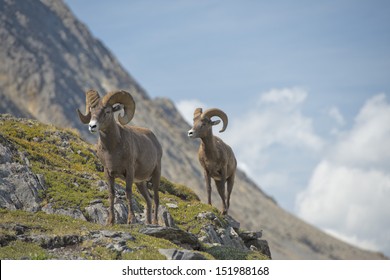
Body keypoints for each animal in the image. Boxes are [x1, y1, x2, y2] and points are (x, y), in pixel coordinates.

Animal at [77, 89, 162, 225]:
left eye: (107, 111)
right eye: (92, 111)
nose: (92, 126)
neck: (112, 149)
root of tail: (155, 140)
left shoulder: (129, 172)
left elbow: (128, 193)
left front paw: (131, 220)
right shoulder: (108, 172)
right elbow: (111, 194)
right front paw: (110, 221)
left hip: (156, 175)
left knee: (156, 199)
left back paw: (154, 223)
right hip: (140, 182)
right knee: (148, 200)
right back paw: (148, 223)